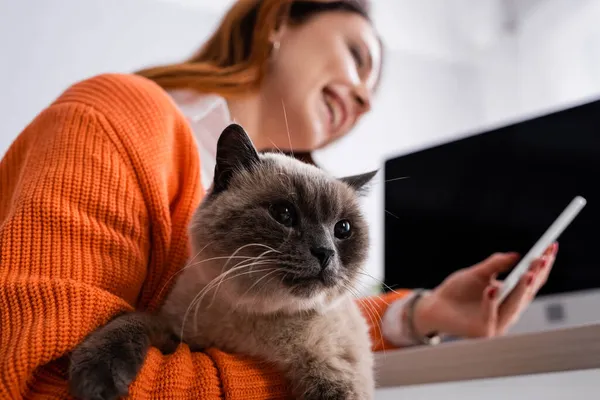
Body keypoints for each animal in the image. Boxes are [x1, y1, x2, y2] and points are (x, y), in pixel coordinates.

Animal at [69, 123, 376, 398]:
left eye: (343, 229)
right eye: (284, 213)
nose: (325, 252)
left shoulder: (337, 378)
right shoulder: (178, 336)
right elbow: (132, 321)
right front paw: (97, 379)